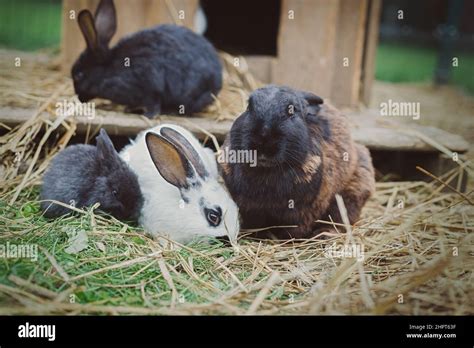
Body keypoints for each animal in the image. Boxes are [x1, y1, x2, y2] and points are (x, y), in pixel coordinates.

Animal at [71, 0, 222, 117]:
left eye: (79, 75)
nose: (79, 98)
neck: (110, 69)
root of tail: (218, 82)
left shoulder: (150, 87)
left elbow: (153, 103)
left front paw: (148, 115)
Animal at [220, 85, 376, 241]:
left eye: (291, 110)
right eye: (248, 107)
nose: (262, 142)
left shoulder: (302, 211)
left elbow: (296, 228)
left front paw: (286, 238)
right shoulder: (249, 209)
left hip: (350, 194)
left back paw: (324, 234)